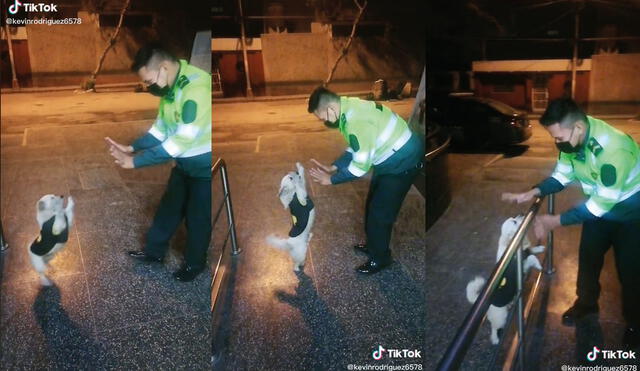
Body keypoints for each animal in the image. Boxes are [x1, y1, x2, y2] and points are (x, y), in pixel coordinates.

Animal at [464, 215, 544, 346]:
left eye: (514, 218)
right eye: (514, 222)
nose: (521, 214)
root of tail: (487, 305)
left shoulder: (526, 253)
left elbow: (531, 250)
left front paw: (539, 248)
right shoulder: (523, 265)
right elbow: (532, 257)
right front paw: (539, 266)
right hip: (501, 318)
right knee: (494, 328)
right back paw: (495, 339)